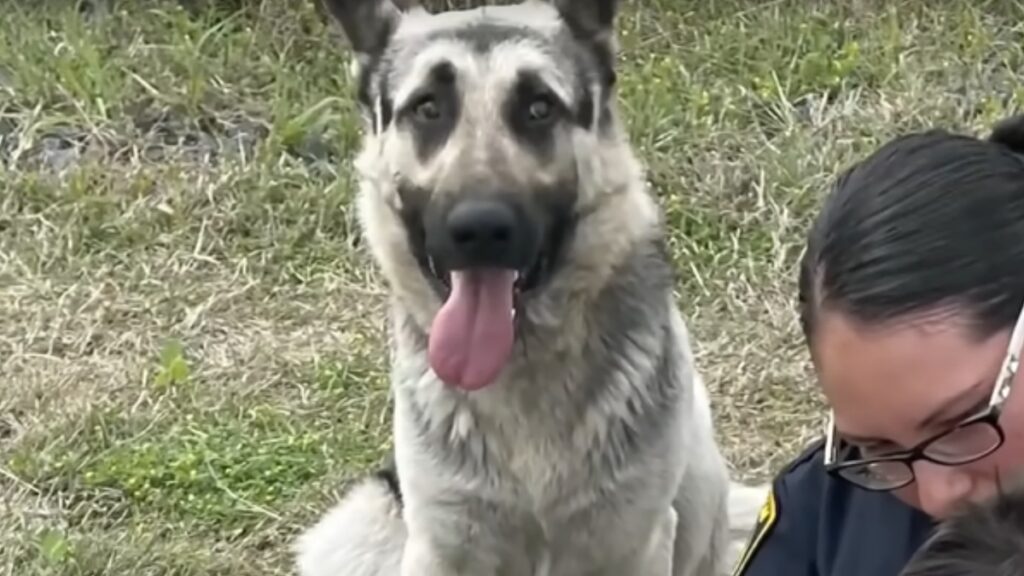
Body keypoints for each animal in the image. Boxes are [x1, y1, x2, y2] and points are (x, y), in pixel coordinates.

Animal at [294, 2, 737, 569]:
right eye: (428, 107)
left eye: (539, 108)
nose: (480, 229)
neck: (521, 367)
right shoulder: (441, 545)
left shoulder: (634, 542)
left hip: (700, 480)